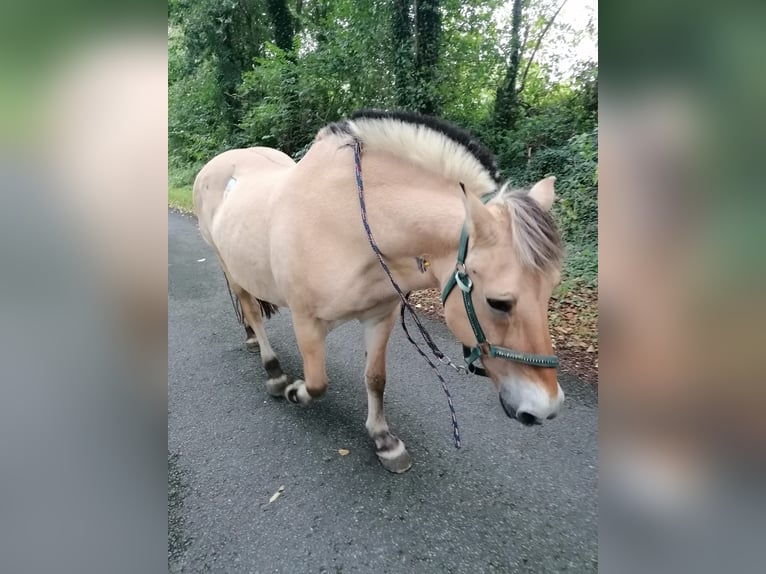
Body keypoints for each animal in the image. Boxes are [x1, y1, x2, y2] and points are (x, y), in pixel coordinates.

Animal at [193, 110, 565, 473]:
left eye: (551, 290)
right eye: (498, 303)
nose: (546, 409)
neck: (348, 224)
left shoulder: (379, 316)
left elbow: (375, 378)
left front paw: (385, 441)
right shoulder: (306, 321)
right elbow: (316, 383)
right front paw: (295, 392)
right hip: (228, 266)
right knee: (252, 311)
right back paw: (273, 371)